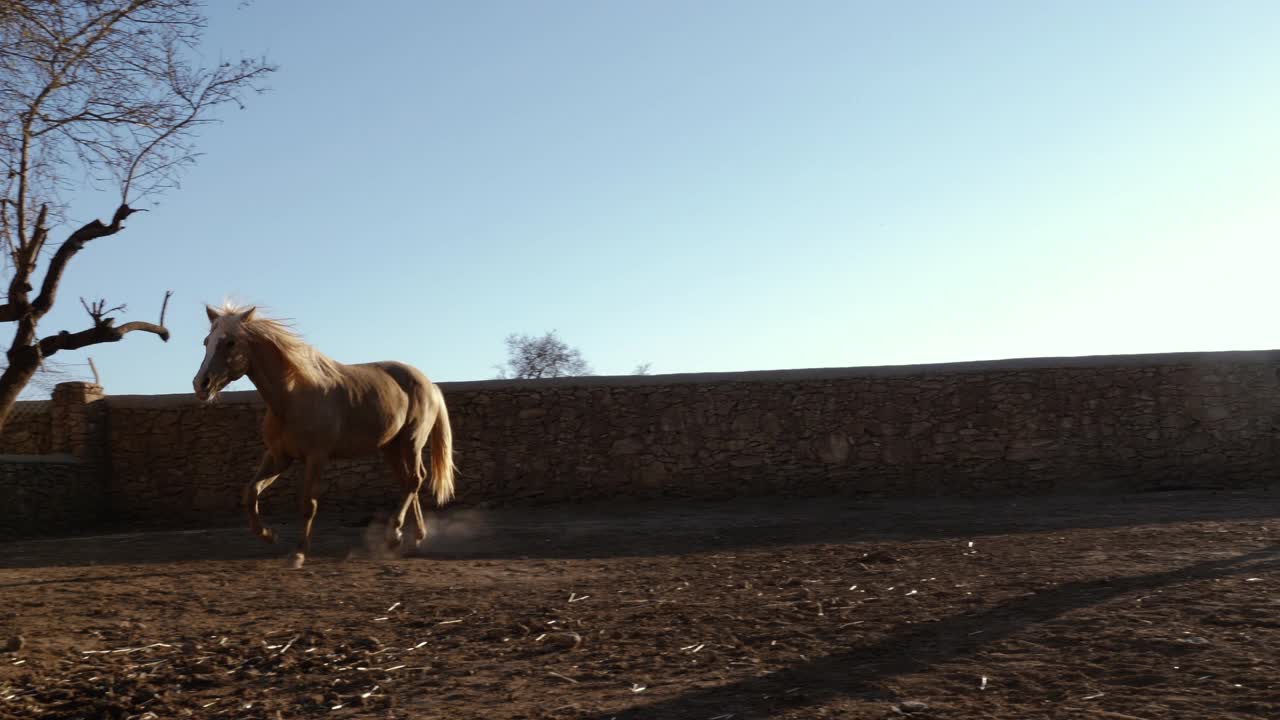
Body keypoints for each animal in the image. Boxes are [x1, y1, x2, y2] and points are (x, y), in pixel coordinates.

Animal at [192, 301, 458, 566]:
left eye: (230, 342)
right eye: (206, 342)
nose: (200, 384)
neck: (291, 397)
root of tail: (429, 384)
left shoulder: (316, 458)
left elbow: (308, 504)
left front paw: (298, 553)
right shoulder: (279, 457)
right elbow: (251, 491)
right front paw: (269, 535)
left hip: (411, 442)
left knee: (415, 480)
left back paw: (394, 535)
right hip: (390, 448)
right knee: (409, 482)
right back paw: (414, 538)